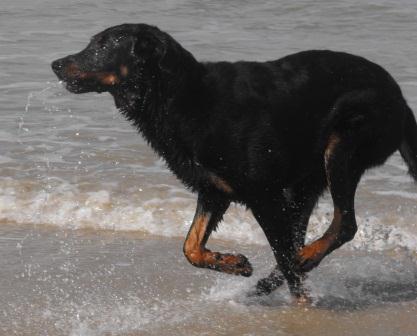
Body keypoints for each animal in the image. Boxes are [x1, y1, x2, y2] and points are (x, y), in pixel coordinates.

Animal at [51, 24, 416, 300]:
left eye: (103, 45)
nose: (55, 63)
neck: (179, 95)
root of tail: (400, 99)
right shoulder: (214, 191)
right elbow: (190, 246)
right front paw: (233, 262)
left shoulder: (264, 196)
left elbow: (283, 255)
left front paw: (303, 303)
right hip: (307, 180)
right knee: (302, 238)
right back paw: (274, 279)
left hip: (343, 148)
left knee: (342, 225)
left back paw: (305, 259)